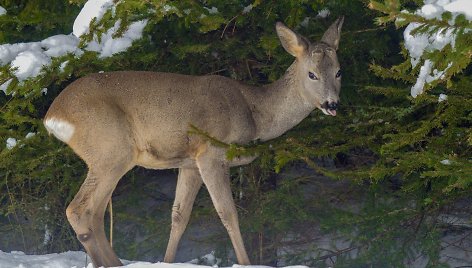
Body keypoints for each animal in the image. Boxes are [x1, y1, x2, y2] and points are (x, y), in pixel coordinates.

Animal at [44, 17, 344, 266]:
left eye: (339, 71)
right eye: (312, 74)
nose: (332, 104)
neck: (255, 113)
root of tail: (53, 116)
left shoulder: (189, 163)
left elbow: (179, 216)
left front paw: (167, 262)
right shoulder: (211, 153)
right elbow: (228, 213)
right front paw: (245, 262)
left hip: (109, 158)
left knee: (94, 214)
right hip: (111, 151)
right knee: (79, 210)